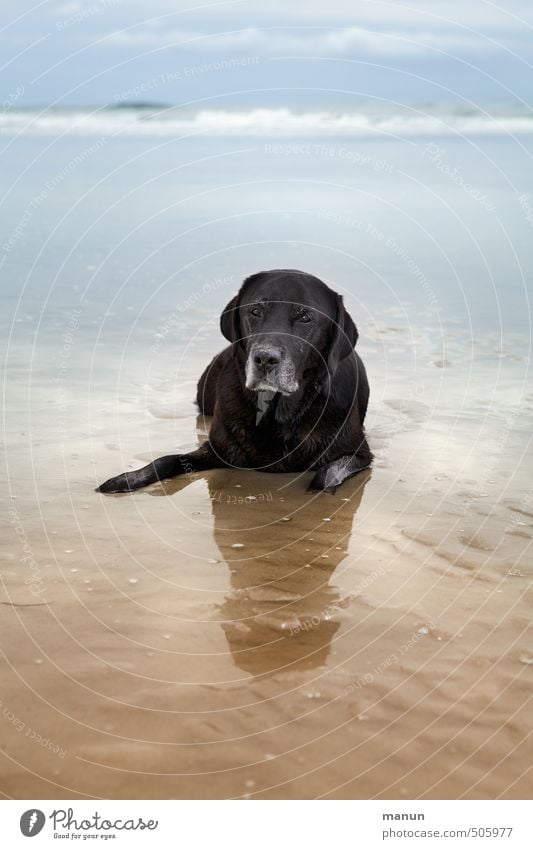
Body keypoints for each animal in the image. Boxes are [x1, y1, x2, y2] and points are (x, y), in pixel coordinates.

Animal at [96, 272, 370, 494]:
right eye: (255, 311)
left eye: (305, 317)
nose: (265, 358)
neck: (277, 413)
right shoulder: (216, 448)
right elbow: (166, 460)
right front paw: (125, 479)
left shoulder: (359, 453)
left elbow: (327, 474)